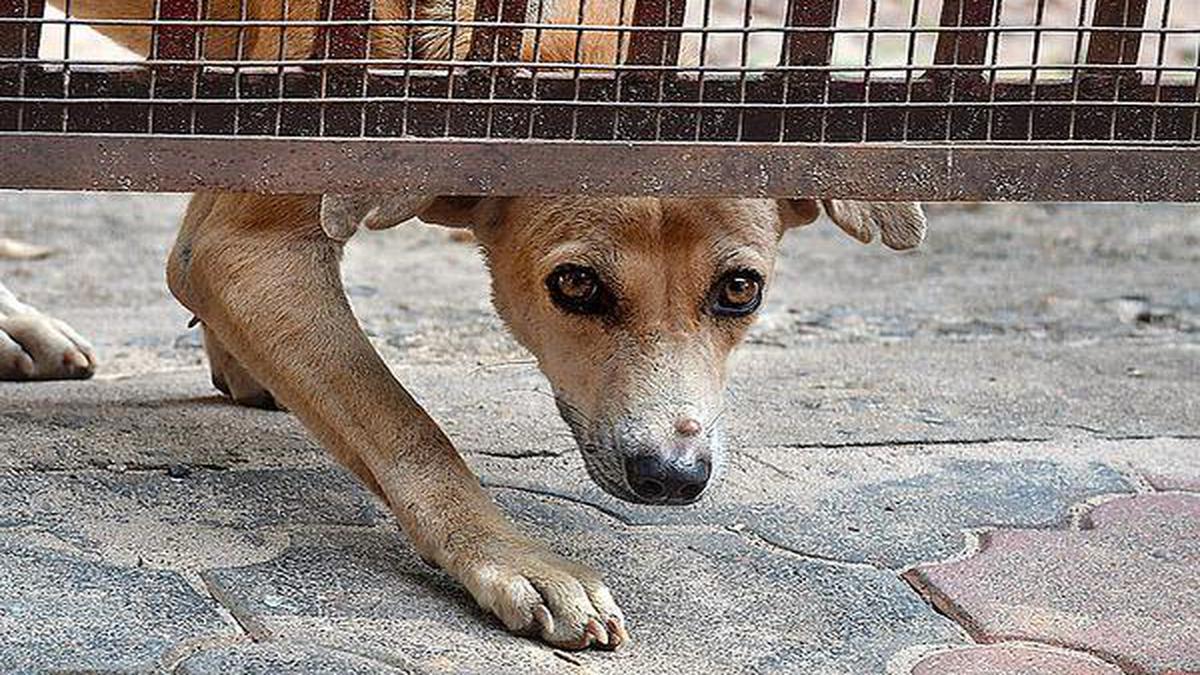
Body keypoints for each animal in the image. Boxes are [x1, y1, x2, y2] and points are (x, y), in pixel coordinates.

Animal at [30, 2, 926, 648]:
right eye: (575, 284)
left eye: (740, 290)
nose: (671, 476)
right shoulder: (247, 249)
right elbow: (407, 426)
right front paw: (509, 557)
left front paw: (239, 361)